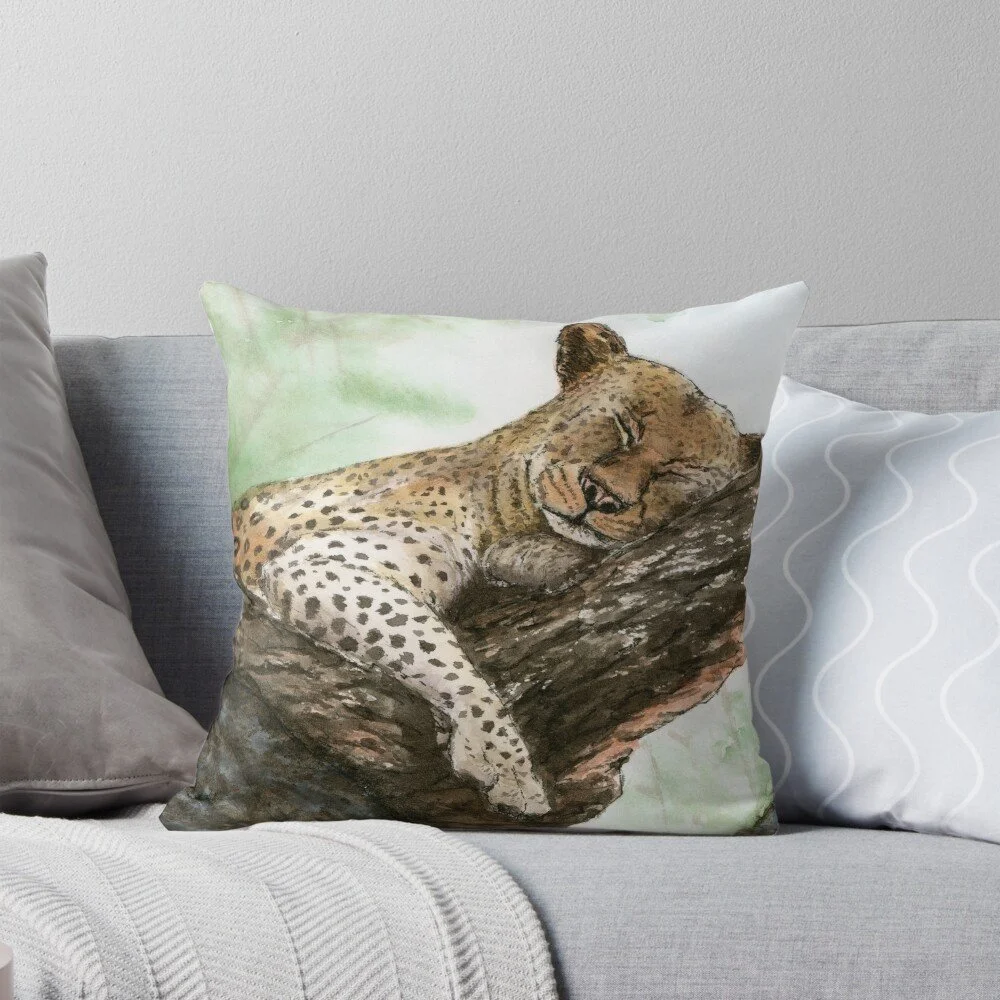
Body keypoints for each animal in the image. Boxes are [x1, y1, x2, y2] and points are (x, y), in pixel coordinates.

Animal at [231, 322, 753, 817]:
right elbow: (433, 648)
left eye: (675, 473)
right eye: (623, 426)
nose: (602, 496)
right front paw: (506, 765)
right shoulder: (317, 560)